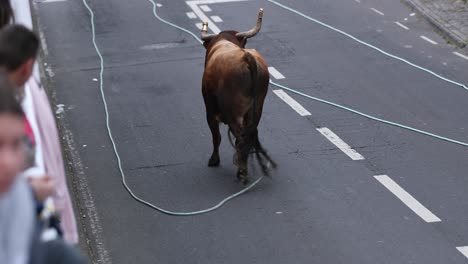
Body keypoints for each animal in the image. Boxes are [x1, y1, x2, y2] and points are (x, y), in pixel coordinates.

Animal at [200, 9, 274, 185]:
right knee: (247, 138)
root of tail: (246, 57)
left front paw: (214, 160)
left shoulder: (209, 111)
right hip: (256, 109)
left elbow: (216, 137)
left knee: (240, 139)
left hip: (234, 113)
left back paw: (242, 173)